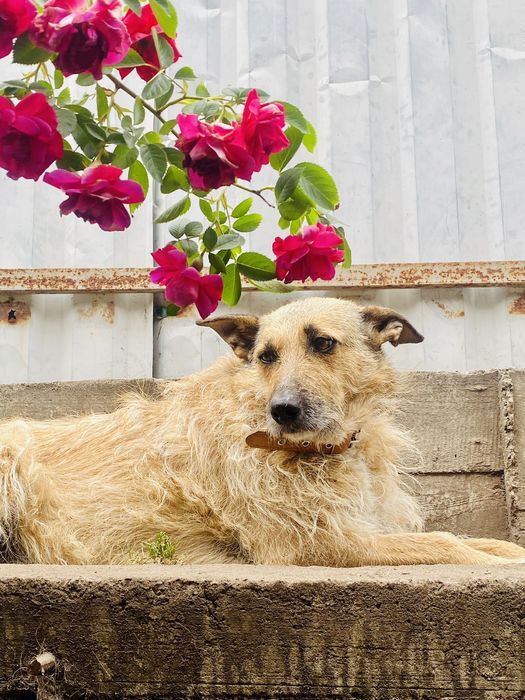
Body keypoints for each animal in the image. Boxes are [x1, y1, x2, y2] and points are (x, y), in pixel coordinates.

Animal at [1, 296, 524, 568]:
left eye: (323, 343)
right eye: (265, 356)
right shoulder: (317, 544)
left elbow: (481, 542)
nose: (283, 411)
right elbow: (445, 543)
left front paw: (506, 552)